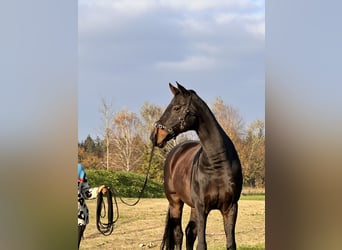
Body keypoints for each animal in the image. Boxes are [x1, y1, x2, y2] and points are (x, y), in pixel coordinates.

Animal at [150, 83, 243, 249]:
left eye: (176, 108)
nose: (155, 135)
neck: (217, 163)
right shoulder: (201, 208)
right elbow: (201, 244)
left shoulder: (230, 208)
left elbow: (231, 243)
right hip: (175, 203)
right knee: (178, 234)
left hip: (191, 206)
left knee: (189, 233)